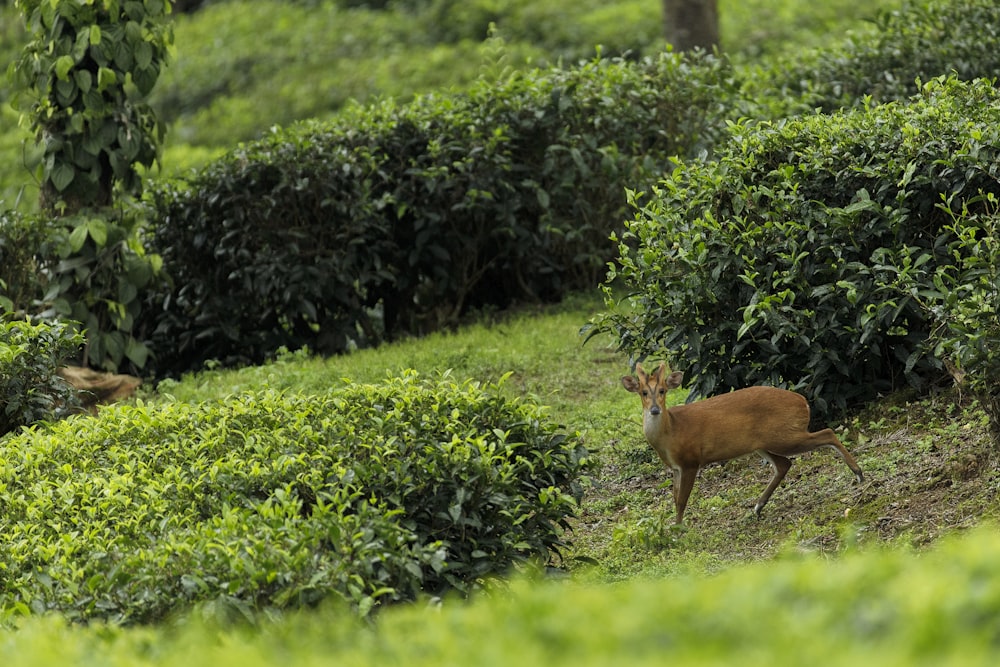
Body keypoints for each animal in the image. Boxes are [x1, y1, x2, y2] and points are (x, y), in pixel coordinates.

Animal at [620, 362, 864, 524]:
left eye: (662, 391)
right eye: (643, 392)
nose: (654, 409)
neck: (671, 432)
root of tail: (803, 401)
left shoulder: (691, 460)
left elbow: (681, 500)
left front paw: (677, 529)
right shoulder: (675, 468)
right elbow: (674, 497)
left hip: (784, 435)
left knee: (827, 433)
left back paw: (858, 473)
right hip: (764, 444)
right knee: (784, 464)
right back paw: (757, 507)